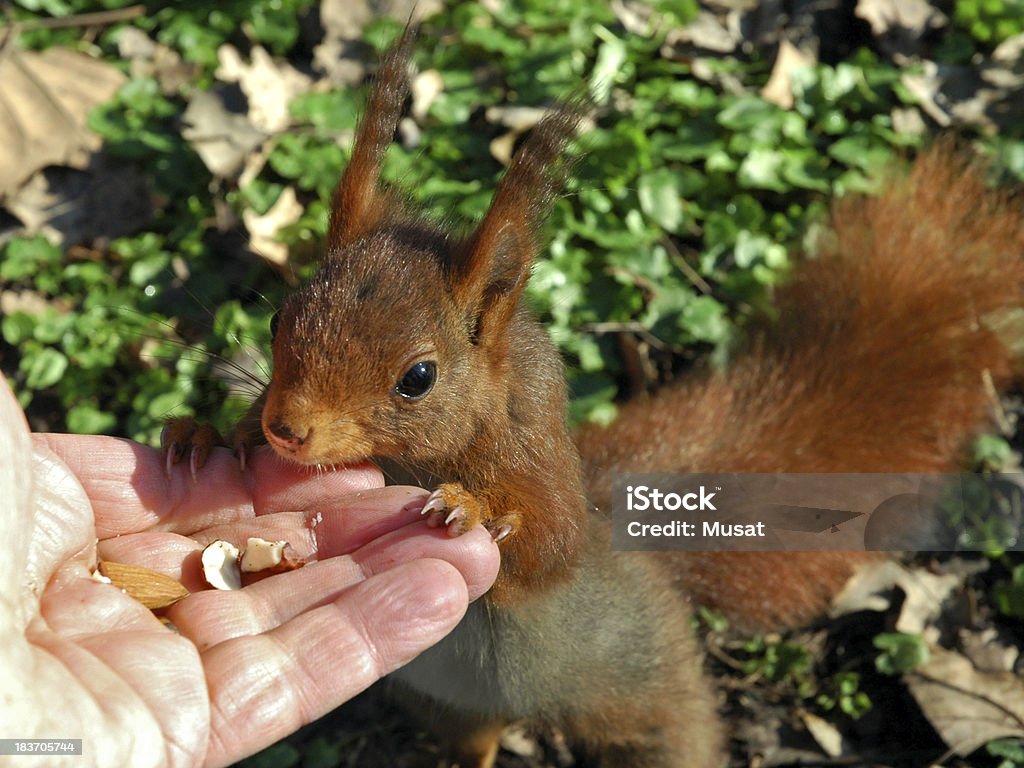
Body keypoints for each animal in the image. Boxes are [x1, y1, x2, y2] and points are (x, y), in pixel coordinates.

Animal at [163, 27, 1024, 768]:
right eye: (277, 319)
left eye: (418, 377)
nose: (287, 430)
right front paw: (202, 437)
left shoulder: (539, 466)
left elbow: (549, 545)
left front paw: (473, 509)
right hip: (452, 706)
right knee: (475, 740)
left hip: (647, 686)